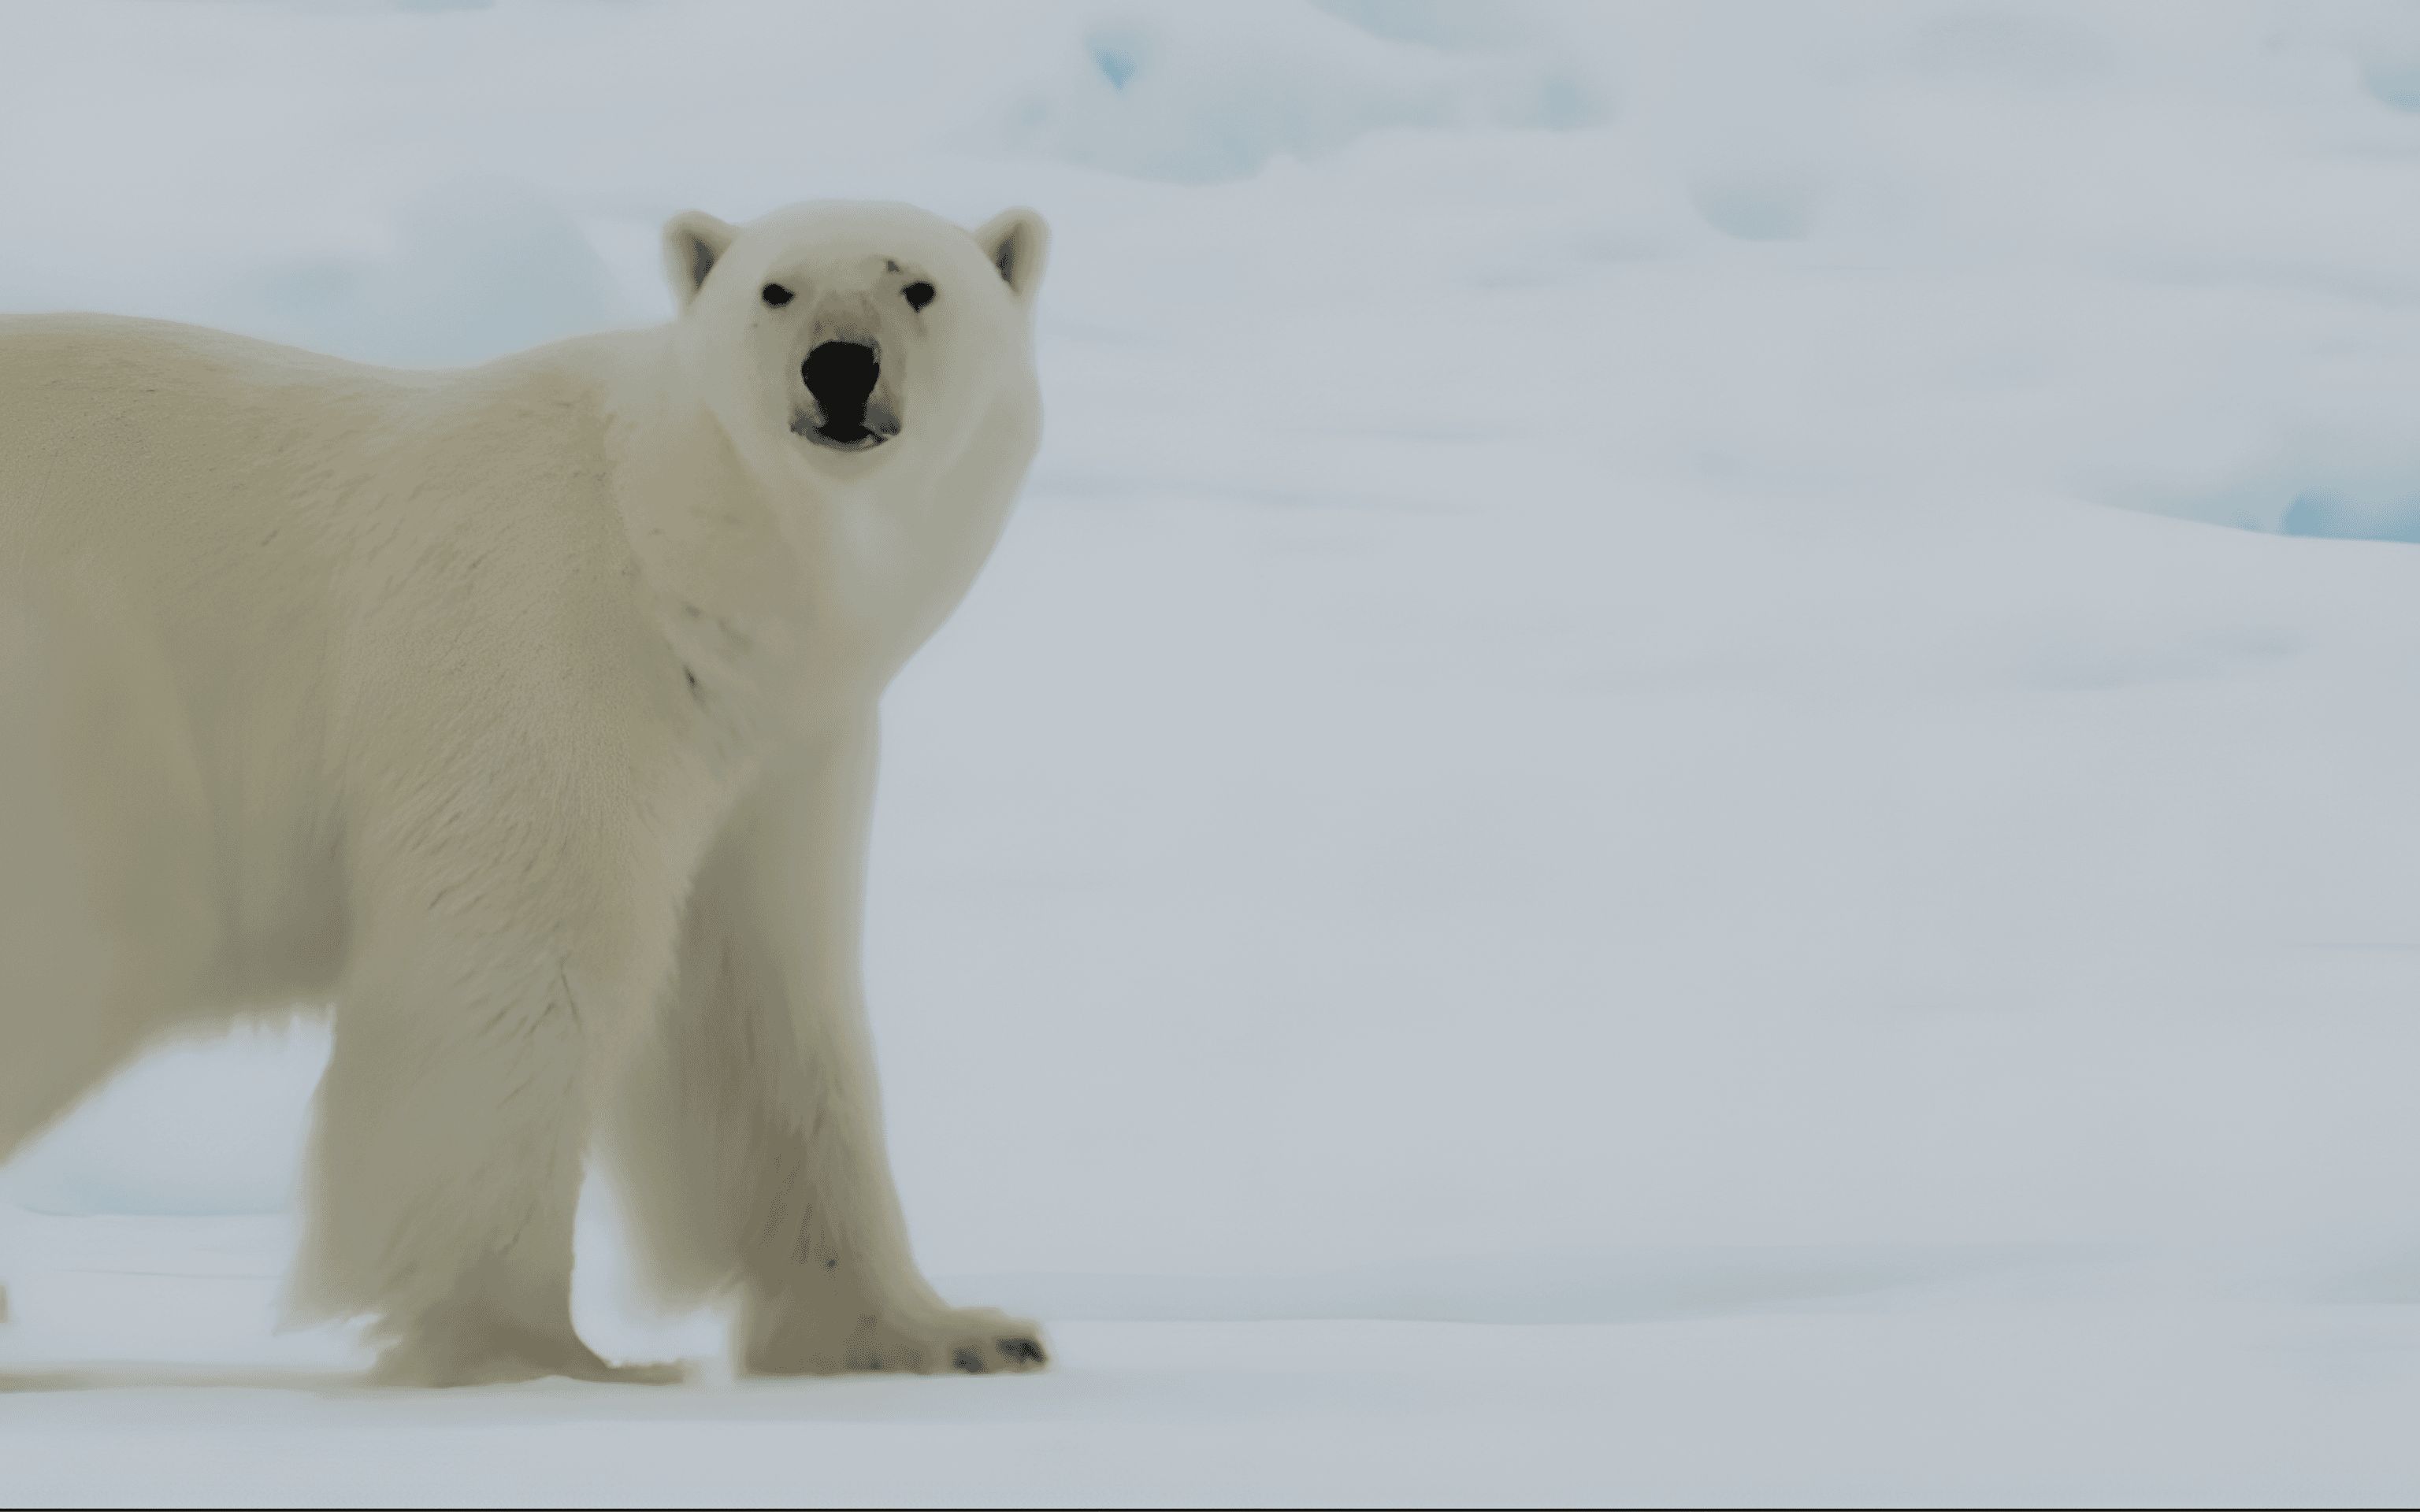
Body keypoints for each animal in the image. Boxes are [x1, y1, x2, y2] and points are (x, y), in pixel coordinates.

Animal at [2, 197, 1060, 1384]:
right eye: (775, 289)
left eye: (917, 284)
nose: (839, 365)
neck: (676, 560)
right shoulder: (546, 649)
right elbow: (516, 969)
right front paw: (537, 1349)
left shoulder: (780, 752)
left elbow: (764, 1010)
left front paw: (946, 1332)